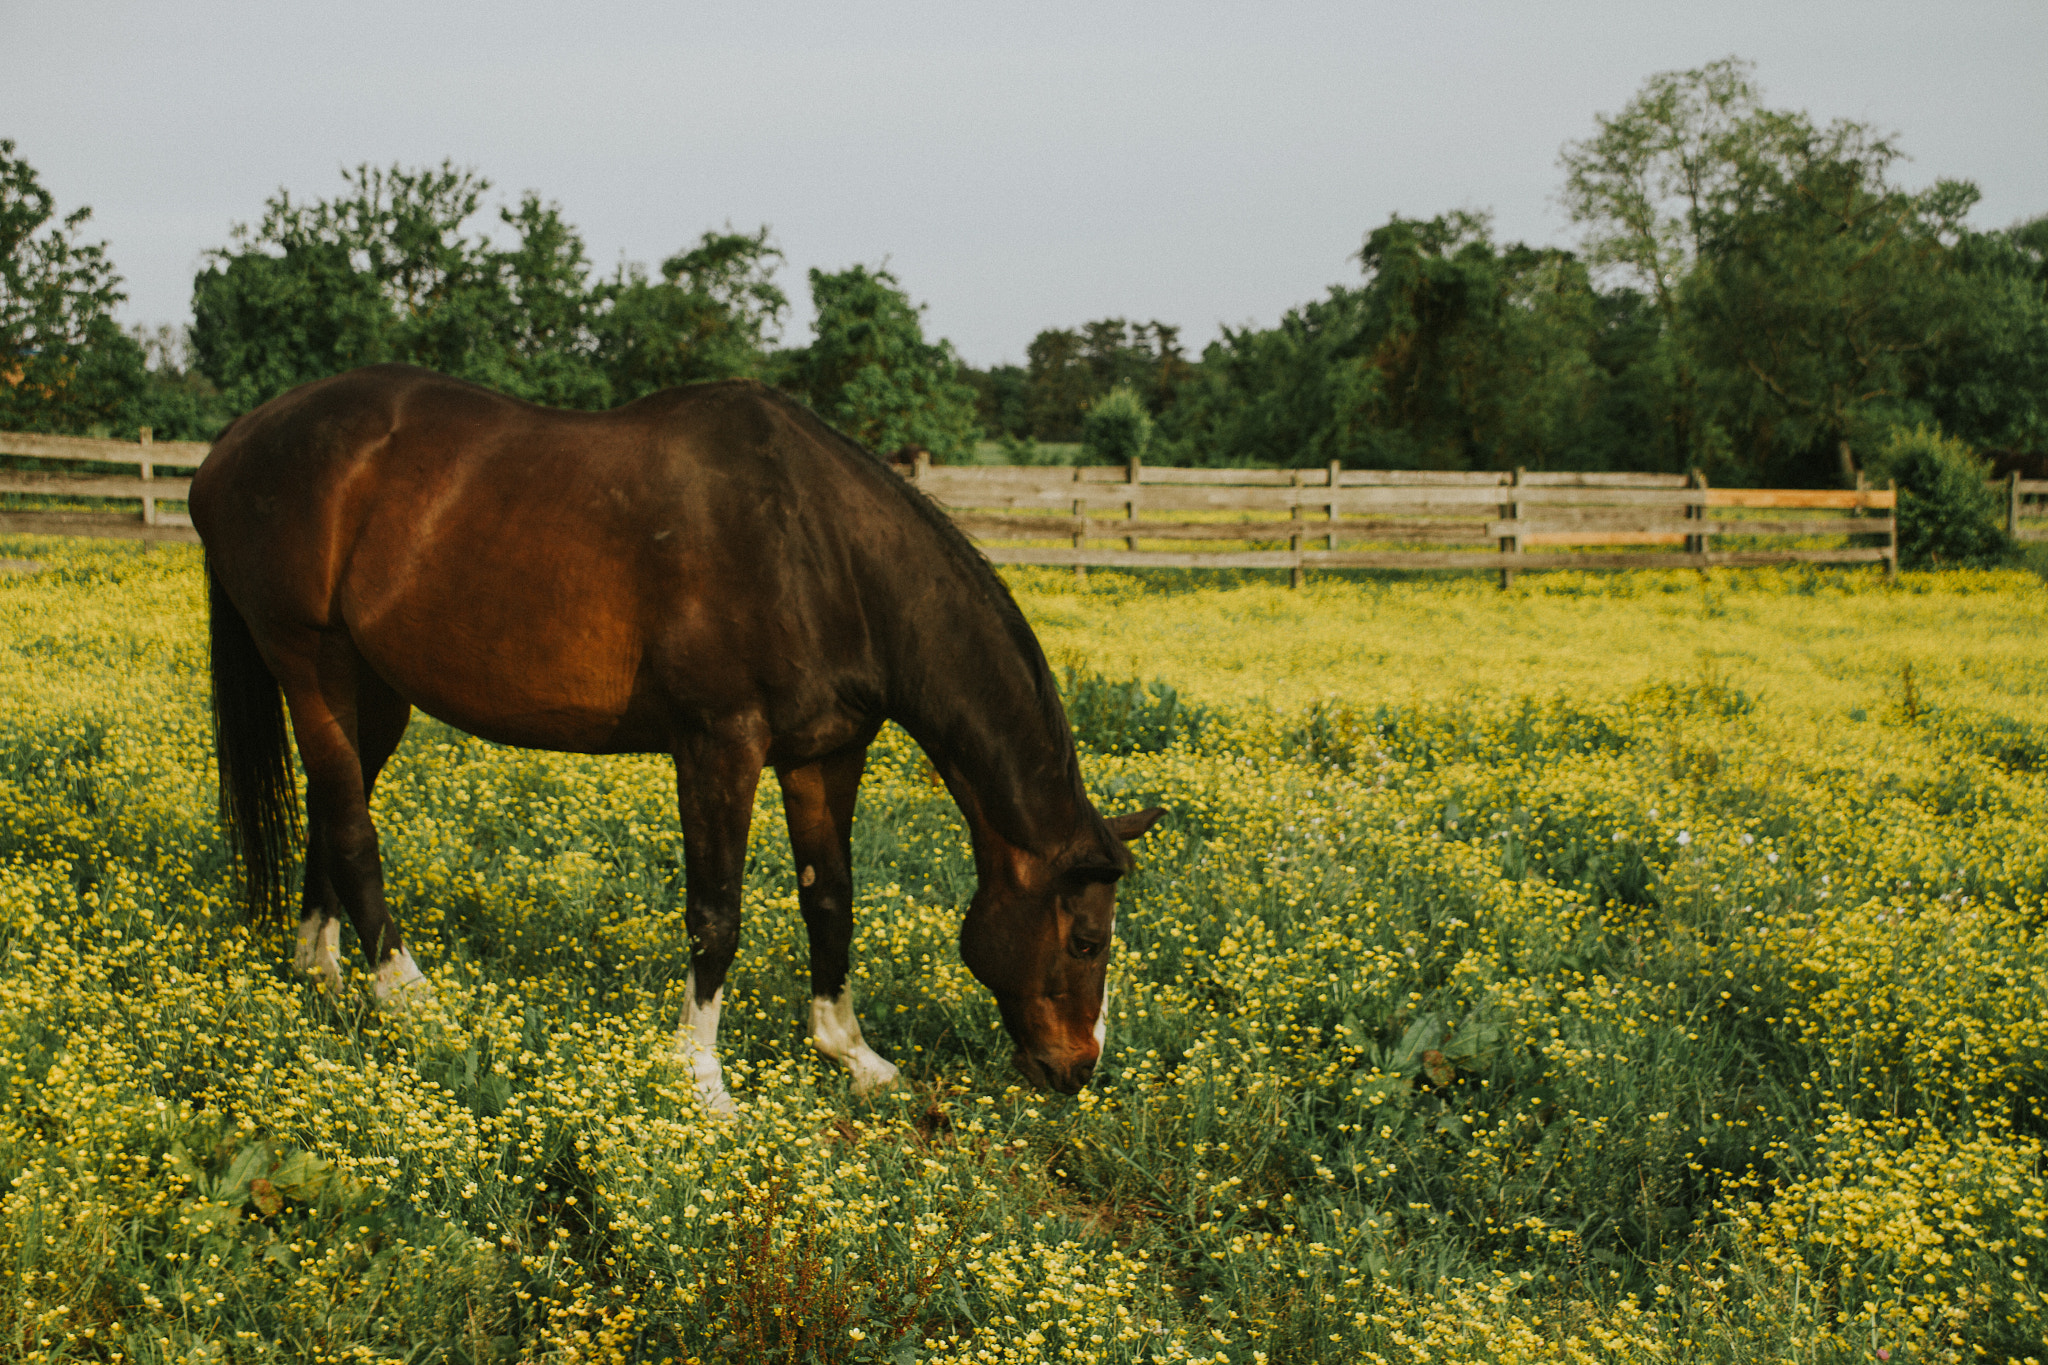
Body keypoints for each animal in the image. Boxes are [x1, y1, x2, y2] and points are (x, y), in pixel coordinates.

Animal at [193, 362, 1171, 1113]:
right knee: (353, 828)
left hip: (375, 692)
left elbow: (831, 899)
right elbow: (716, 914)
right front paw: (703, 1079)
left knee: (332, 810)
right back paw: (409, 997)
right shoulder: (719, 744)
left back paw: (320, 970)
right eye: (1087, 941)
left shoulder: (824, 754)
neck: (818, 549)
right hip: (309, 661)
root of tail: (230, 447)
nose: (1077, 1070)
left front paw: (850, 1053)